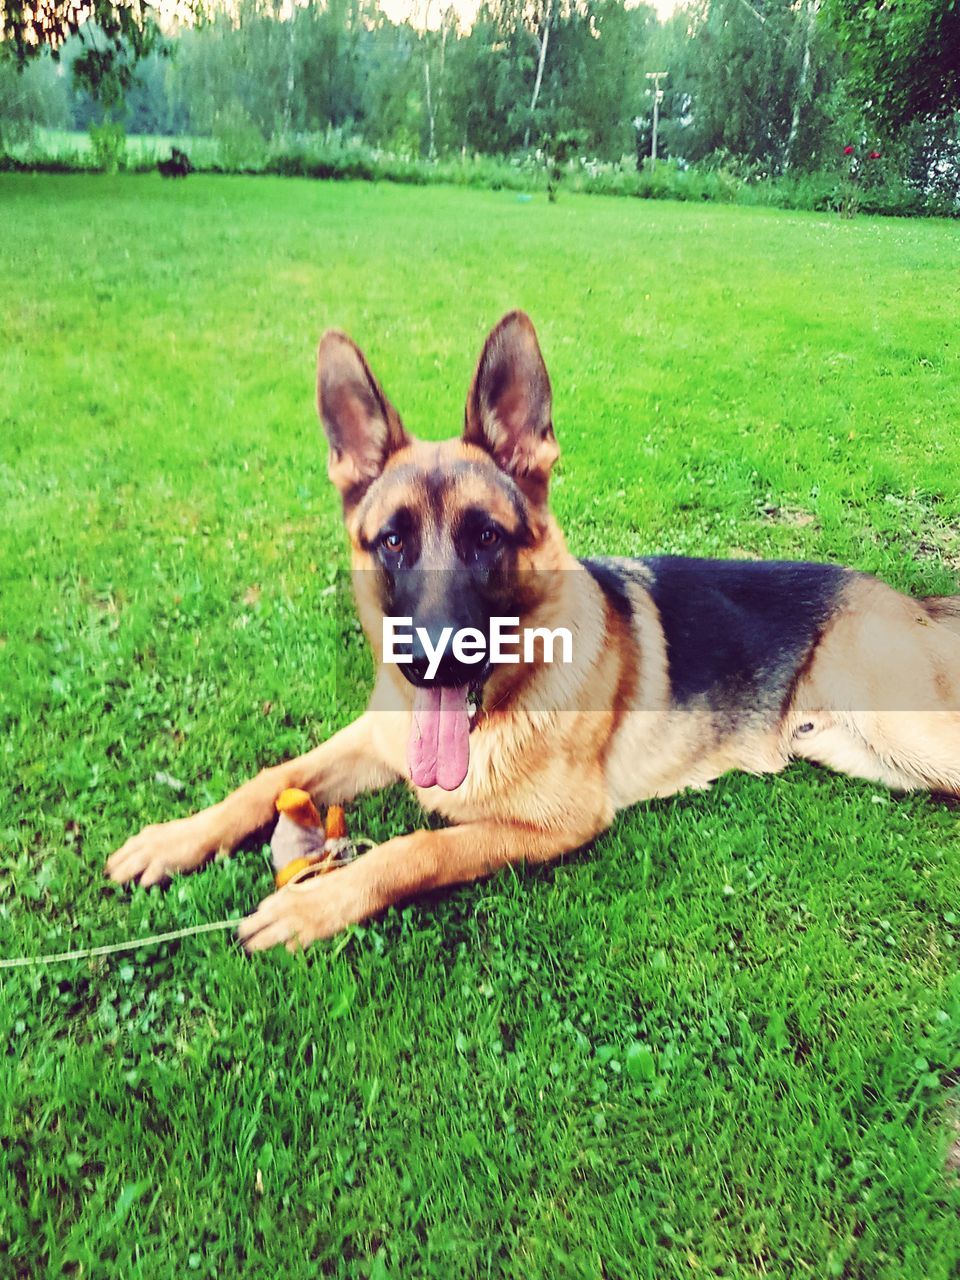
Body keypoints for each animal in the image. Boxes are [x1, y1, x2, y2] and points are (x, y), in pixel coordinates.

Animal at [104, 309, 960, 952]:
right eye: (393, 541)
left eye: (486, 537)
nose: (432, 664)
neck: (504, 704)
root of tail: (903, 598)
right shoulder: (372, 740)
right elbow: (269, 777)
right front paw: (175, 837)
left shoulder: (557, 823)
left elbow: (420, 847)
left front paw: (317, 903)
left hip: (909, 734)